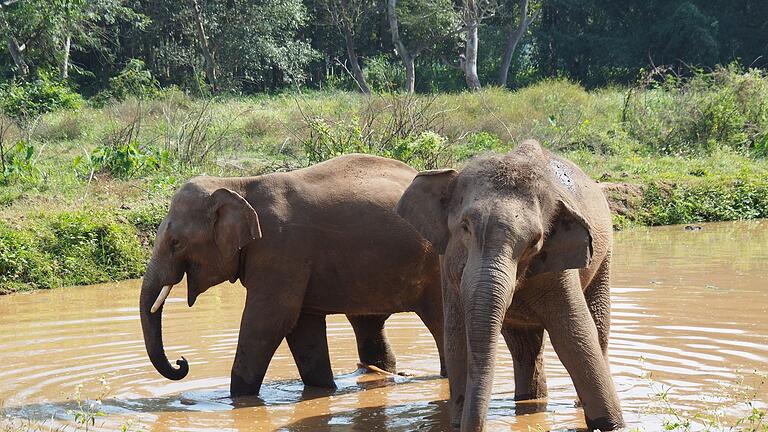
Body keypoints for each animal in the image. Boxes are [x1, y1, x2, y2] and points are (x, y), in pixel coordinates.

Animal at [141, 154, 448, 396]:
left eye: (175, 243)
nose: (182, 362)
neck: (238, 184)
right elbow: (302, 325)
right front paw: (323, 390)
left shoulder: (281, 249)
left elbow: (270, 321)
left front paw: (237, 400)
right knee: (367, 324)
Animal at [396, 140, 624, 430]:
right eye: (465, 227)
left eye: (534, 242)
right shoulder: (447, 263)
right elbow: (457, 338)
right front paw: (456, 422)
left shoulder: (560, 268)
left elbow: (575, 336)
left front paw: (614, 424)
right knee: (523, 348)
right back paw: (529, 400)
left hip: (604, 258)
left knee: (598, 328)